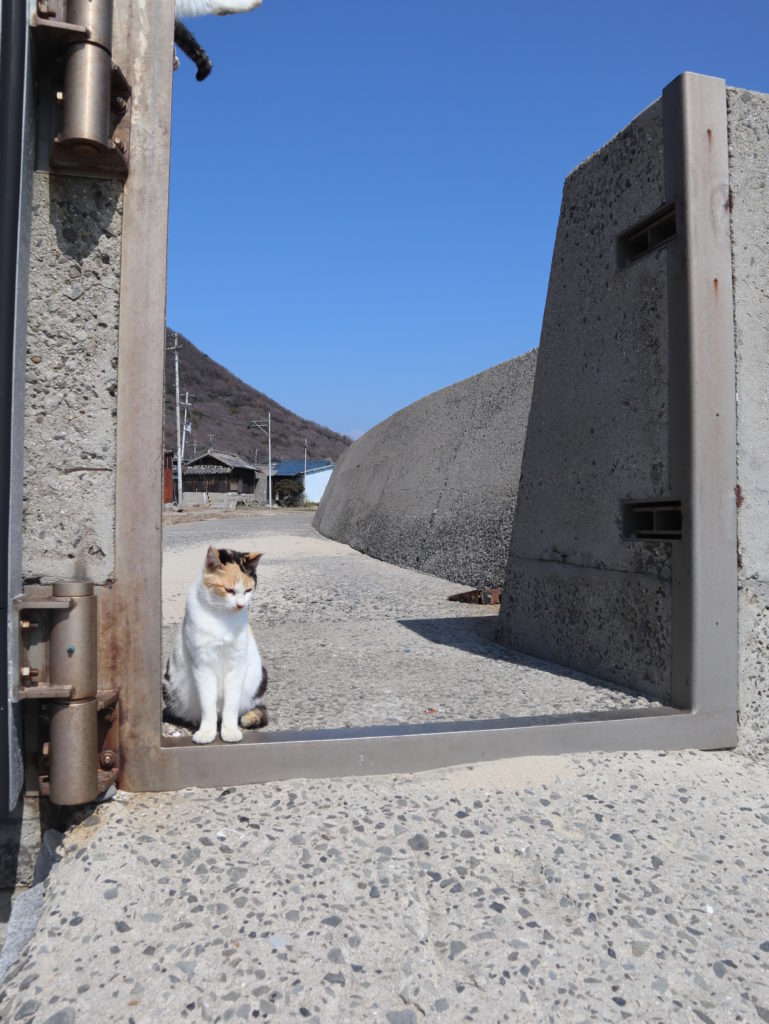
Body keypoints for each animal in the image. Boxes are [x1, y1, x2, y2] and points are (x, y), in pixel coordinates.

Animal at [163, 544, 268, 745]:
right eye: (229, 590)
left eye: (248, 590)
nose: (240, 605)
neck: (222, 617)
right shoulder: (202, 665)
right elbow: (207, 704)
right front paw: (206, 732)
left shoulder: (237, 663)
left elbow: (232, 704)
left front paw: (230, 731)